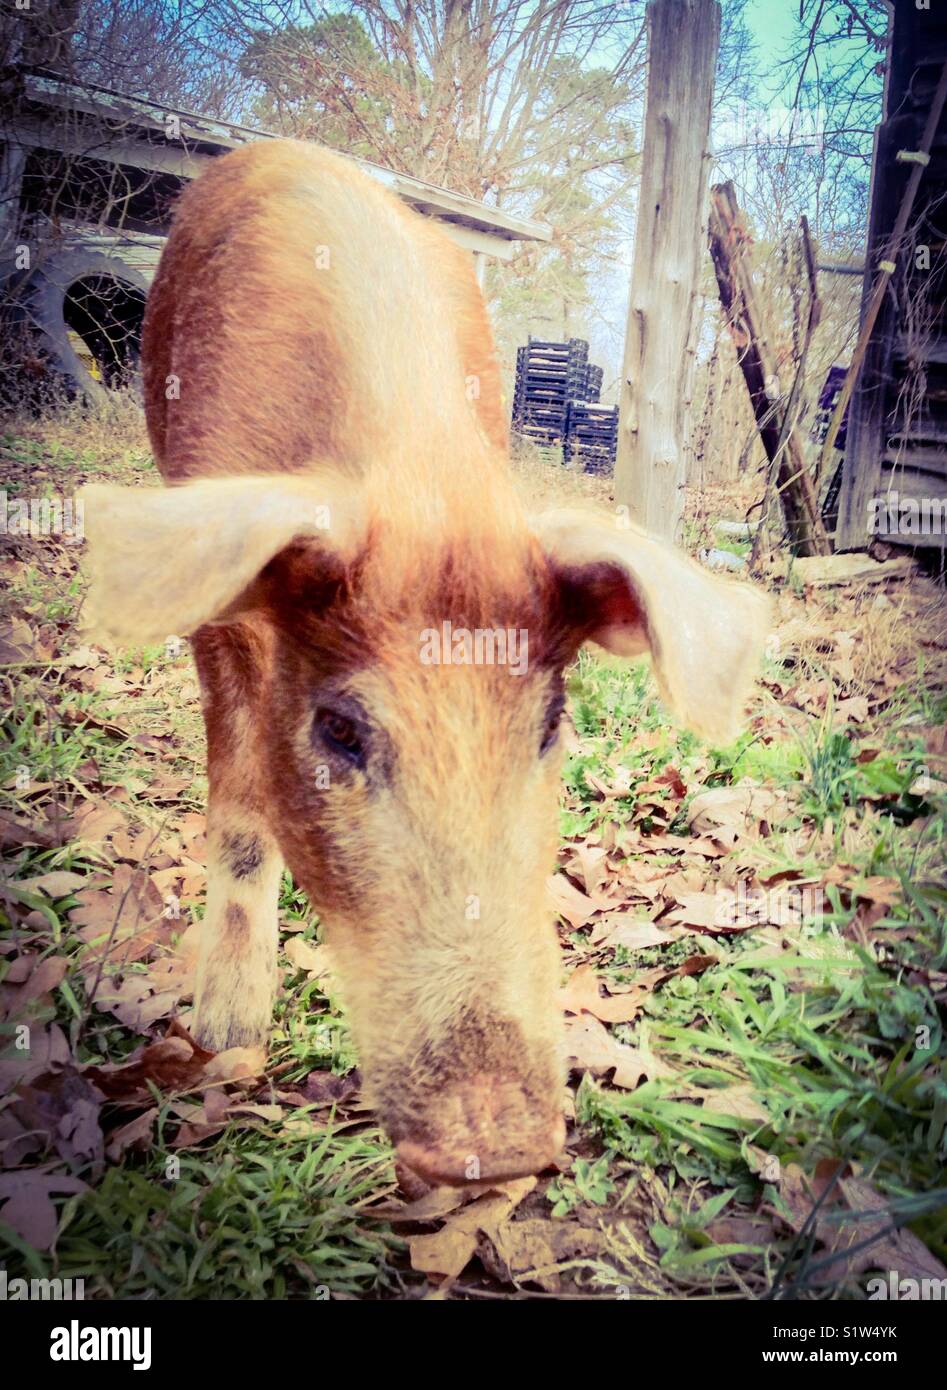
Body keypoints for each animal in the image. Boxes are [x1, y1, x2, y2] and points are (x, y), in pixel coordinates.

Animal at [81, 139, 769, 1186]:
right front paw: (227, 1043)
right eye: (338, 729)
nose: (498, 1146)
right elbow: (238, 810)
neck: (418, 484)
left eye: (549, 725)